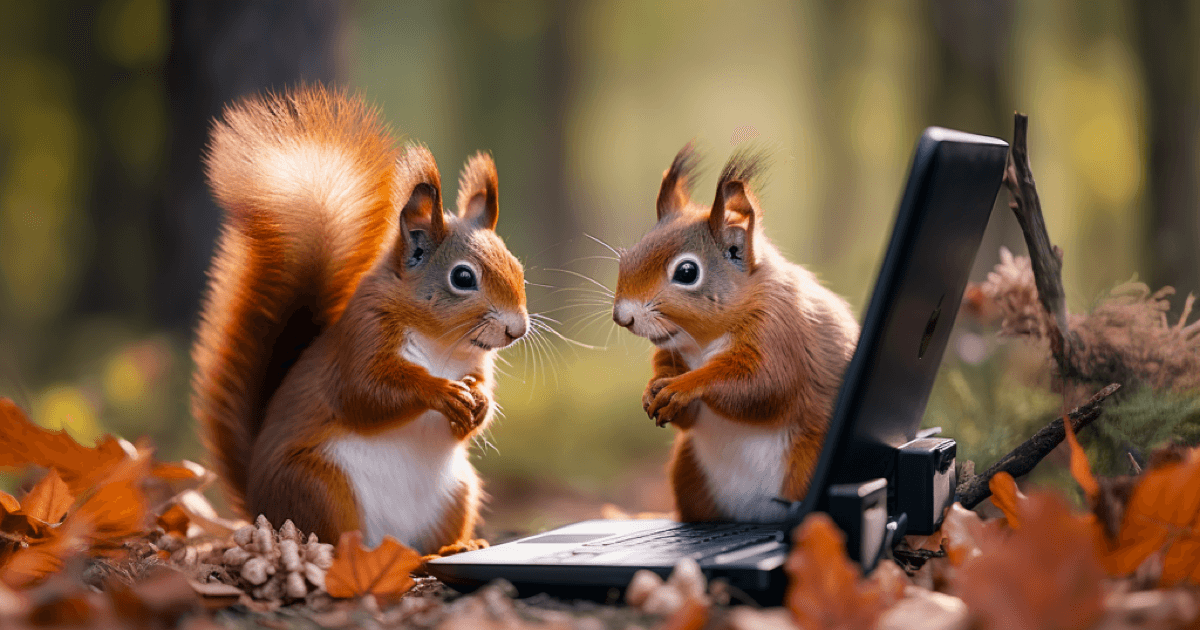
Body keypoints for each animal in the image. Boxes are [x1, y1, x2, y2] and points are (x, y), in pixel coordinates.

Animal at [191, 86, 529, 554]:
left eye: (517, 267)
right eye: (463, 278)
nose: (518, 329)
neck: (442, 344)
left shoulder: (474, 364)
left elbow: (474, 399)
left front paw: (479, 402)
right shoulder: (362, 338)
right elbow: (364, 392)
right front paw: (440, 391)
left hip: (459, 491)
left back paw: (455, 547)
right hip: (318, 485)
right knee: (335, 535)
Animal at [612, 144, 860, 523]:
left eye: (687, 272)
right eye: (626, 257)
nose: (622, 317)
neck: (701, 344)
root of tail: (756, 515)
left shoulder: (780, 334)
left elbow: (763, 385)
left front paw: (682, 386)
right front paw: (654, 387)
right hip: (688, 473)